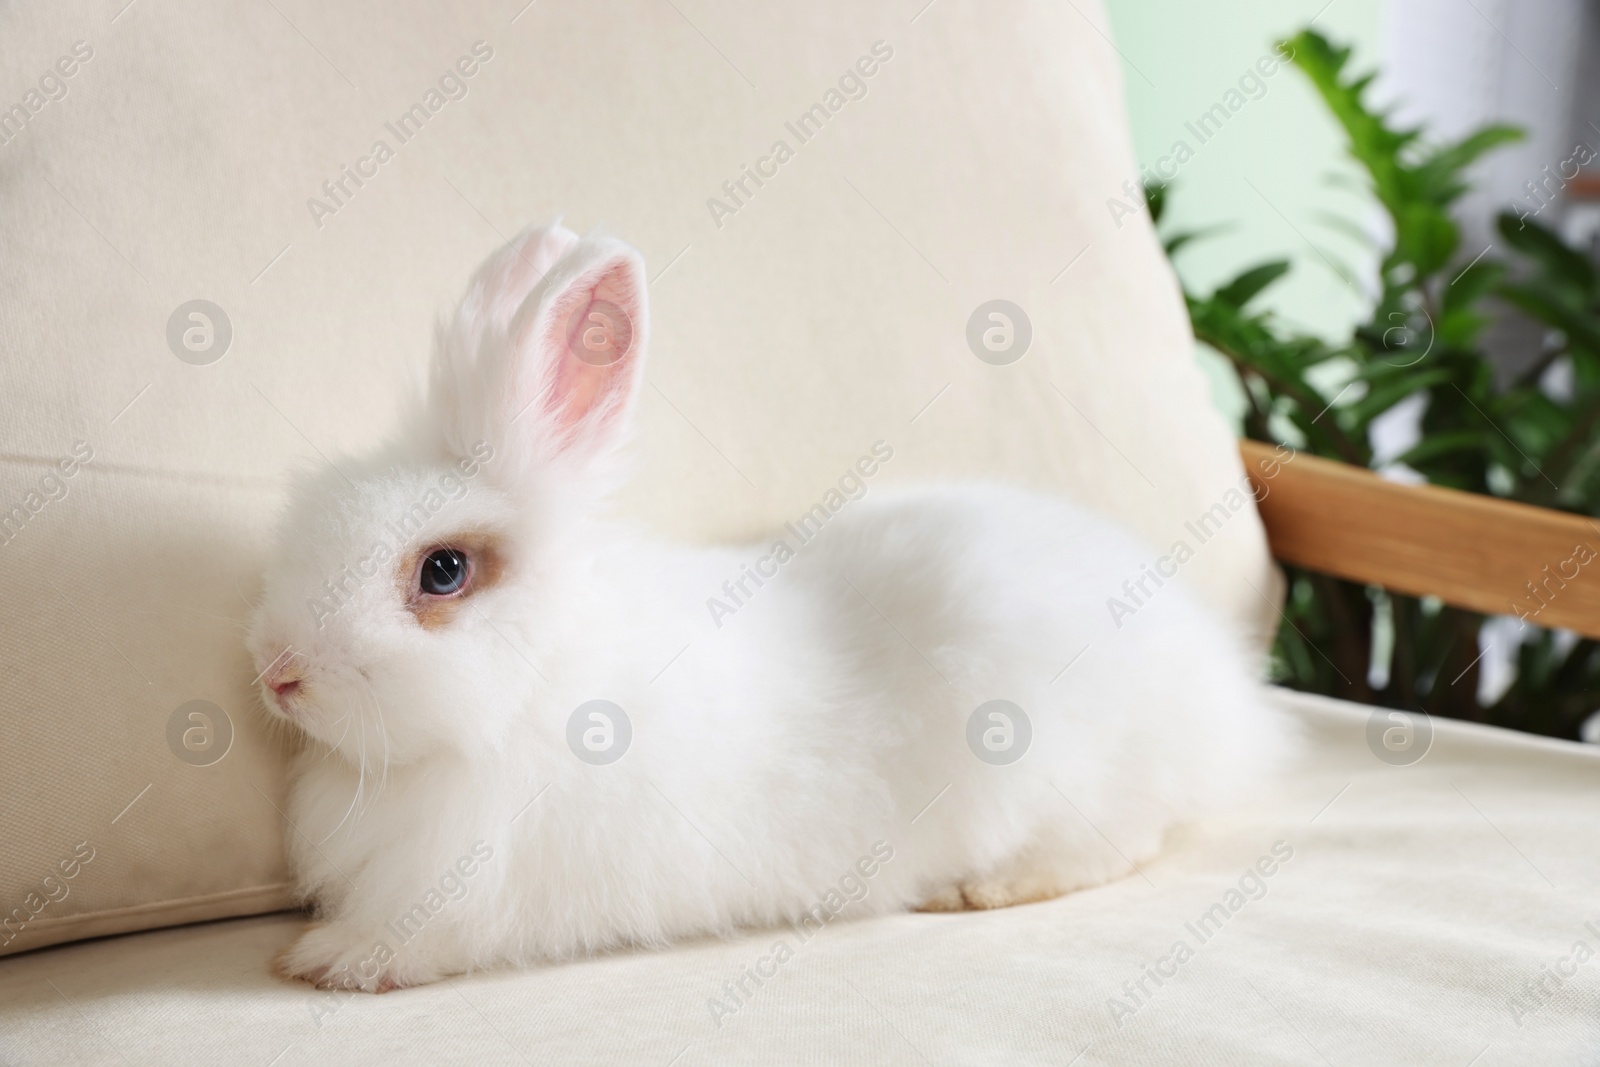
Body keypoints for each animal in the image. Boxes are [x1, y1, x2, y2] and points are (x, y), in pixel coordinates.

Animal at [249, 223, 1299, 991]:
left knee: (1125, 838)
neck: (535, 685)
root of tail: (1218, 686)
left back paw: (985, 888)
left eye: (443, 571)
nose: (275, 672)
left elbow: (426, 938)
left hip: (1067, 776)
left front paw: (329, 959)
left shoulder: (493, 887)